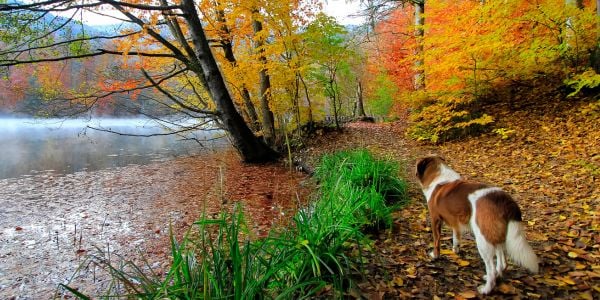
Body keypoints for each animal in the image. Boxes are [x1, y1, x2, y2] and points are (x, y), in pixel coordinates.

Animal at [418, 156, 540, 294]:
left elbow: (436, 240)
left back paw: (486, 288)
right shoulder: (455, 222)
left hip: (483, 239)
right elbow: (456, 237)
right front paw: (455, 249)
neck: (439, 178)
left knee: (491, 267)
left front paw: (435, 256)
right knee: (502, 263)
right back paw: (497, 276)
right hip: (494, 235)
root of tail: (505, 200)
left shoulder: (435, 219)